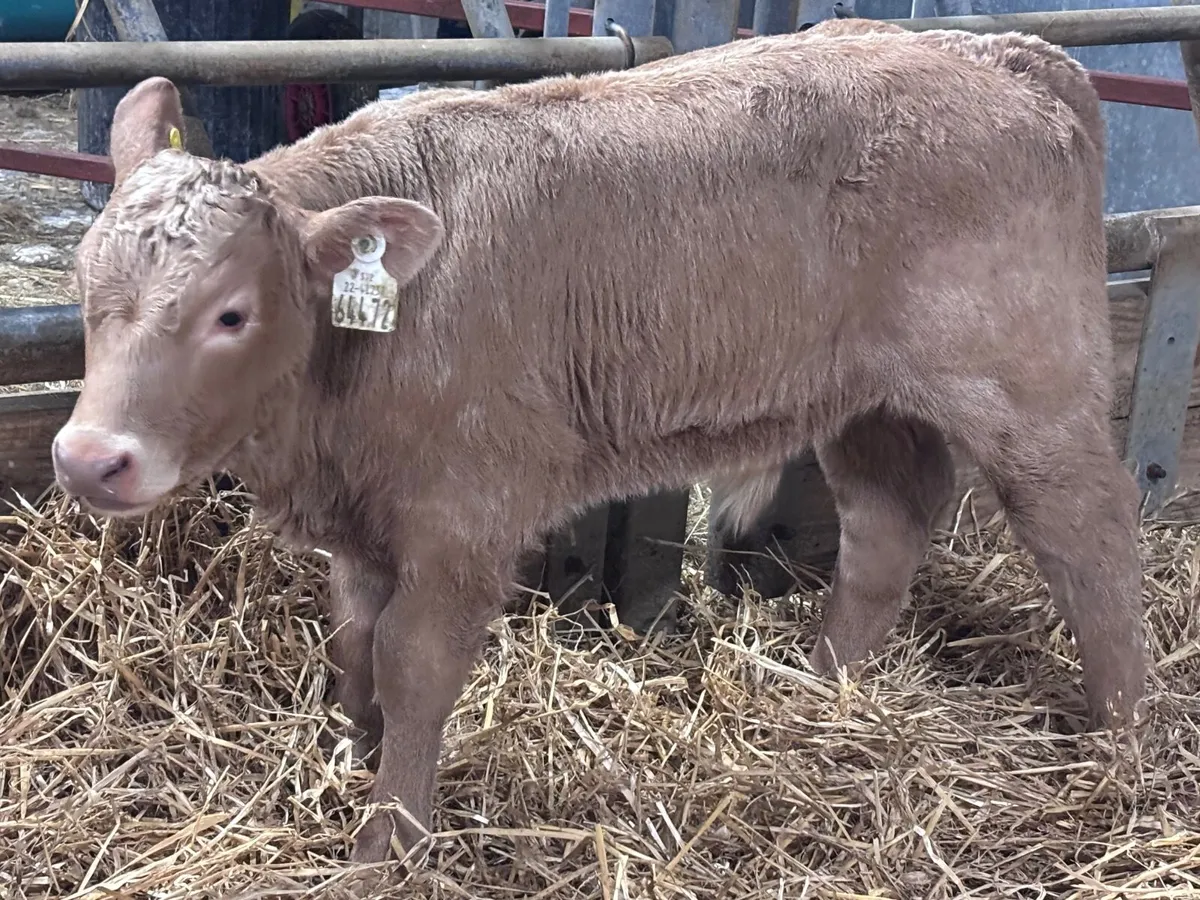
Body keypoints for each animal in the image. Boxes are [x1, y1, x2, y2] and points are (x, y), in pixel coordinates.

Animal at [50, 19, 1146, 867]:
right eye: (84, 274)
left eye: (231, 313)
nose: (89, 458)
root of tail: (1005, 50)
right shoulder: (365, 519)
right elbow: (354, 642)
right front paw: (347, 764)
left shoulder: (463, 513)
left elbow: (412, 661)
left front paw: (387, 843)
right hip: (868, 401)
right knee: (887, 528)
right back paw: (823, 686)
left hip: (1030, 387)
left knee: (1089, 536)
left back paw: (1126, 743)